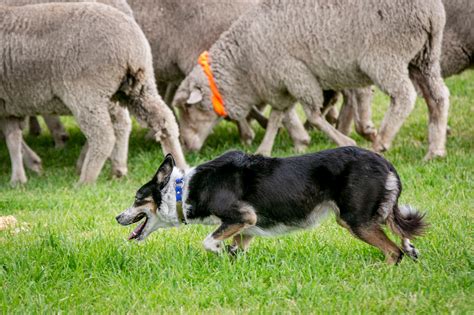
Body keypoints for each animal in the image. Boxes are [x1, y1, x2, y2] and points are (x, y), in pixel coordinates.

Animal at [1, 1, 187, 185]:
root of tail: (129, 43)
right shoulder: (8, 104)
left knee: (103, 136)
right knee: (163, 121)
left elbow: (12, 137)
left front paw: (22, 175)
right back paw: (178, 167)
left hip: (86, 94)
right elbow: (12, 137)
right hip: (138, 85)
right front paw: (20, 176)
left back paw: (85, 180)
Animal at [115, 148, 426, 264]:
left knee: (393, 251)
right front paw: (233, 262)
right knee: (400, 231)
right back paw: (411, 249)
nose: (117, 217)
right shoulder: (246, 228)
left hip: (355, 220)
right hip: (373, 213)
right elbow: (235, 248)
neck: (183, 190)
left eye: (137, 199)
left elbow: (209, 241)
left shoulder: (242, 217)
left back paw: (383, 268)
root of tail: (385, 162)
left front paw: (221, 254)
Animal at [172, 0, 450, 160]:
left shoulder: (296, 73)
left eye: (187, 108)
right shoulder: (280, 83)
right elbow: (277, 115)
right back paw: (435, 150)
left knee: (404, 97)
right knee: (438, 97)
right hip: (425, 56)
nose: (184, 144)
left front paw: (344, 141)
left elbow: (313, 115)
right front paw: (264, 149)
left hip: (385, 56)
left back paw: (381, 141)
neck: (243, 63)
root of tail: (430, 12)